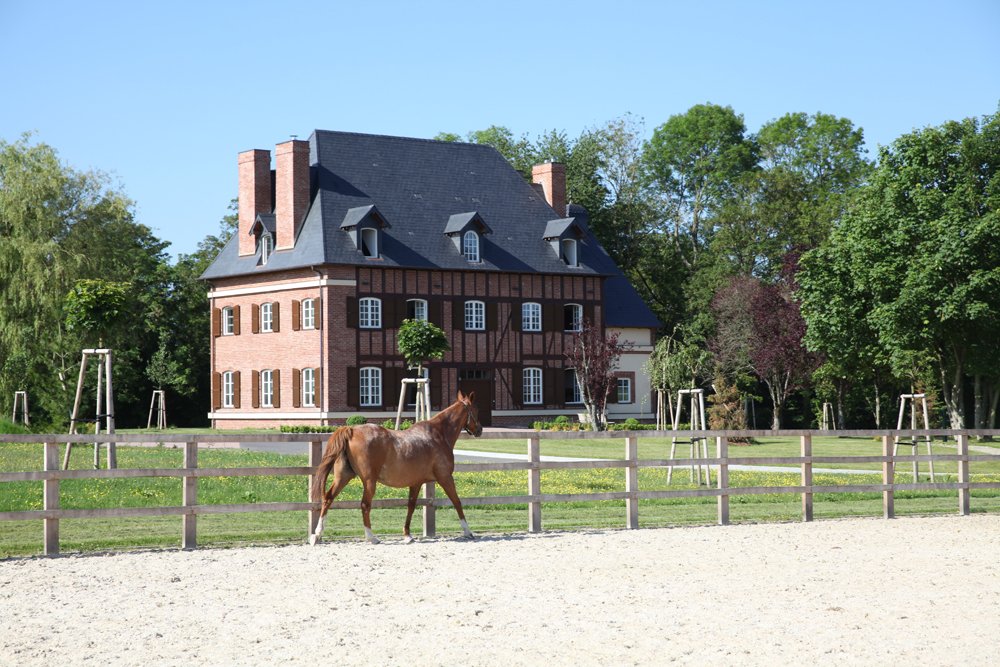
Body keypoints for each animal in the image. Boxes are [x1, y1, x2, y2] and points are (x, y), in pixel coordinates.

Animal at [309, 390, 483, 545]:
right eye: (475, 410)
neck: (438, 435)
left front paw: (407, 534)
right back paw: (371, 537)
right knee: (365, 505)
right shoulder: (445, 477)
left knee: (328, 498)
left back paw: (317, 535)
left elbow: (411, 505)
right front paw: (468, 531)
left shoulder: (416, 483)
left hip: (343, 476)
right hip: (369, 481)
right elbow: (457, 501)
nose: (480, 430)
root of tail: (351, 430)